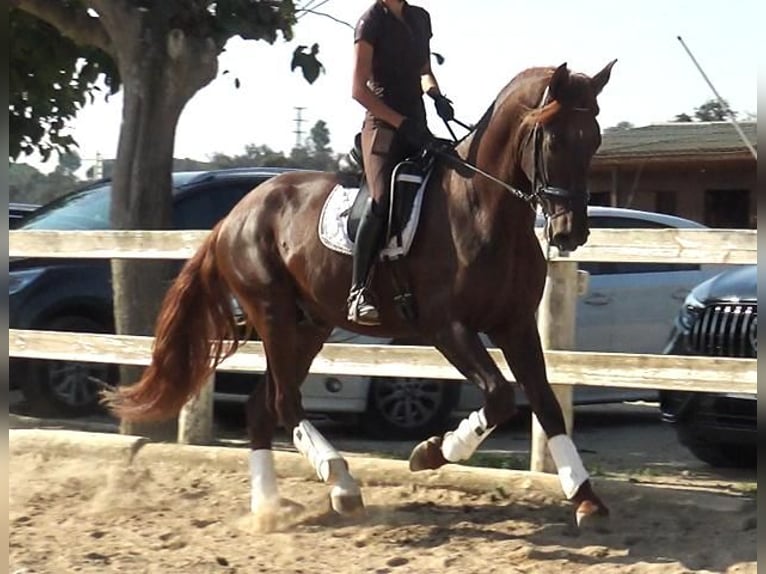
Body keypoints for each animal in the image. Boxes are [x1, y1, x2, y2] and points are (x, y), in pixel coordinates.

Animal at [103, 60, 616, 528]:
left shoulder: (515, 324)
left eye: (593, 139)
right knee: (284, 403)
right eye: (553, 139)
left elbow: (545, 402)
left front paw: (585, 497)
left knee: (262, 407)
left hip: (308, 327)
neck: (483, 210)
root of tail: (233, 215)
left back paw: (268, 505)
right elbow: (500, 396)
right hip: (273, 314)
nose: (571, 233)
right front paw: (430, 452)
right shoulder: (447, 328)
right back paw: (340, 482)